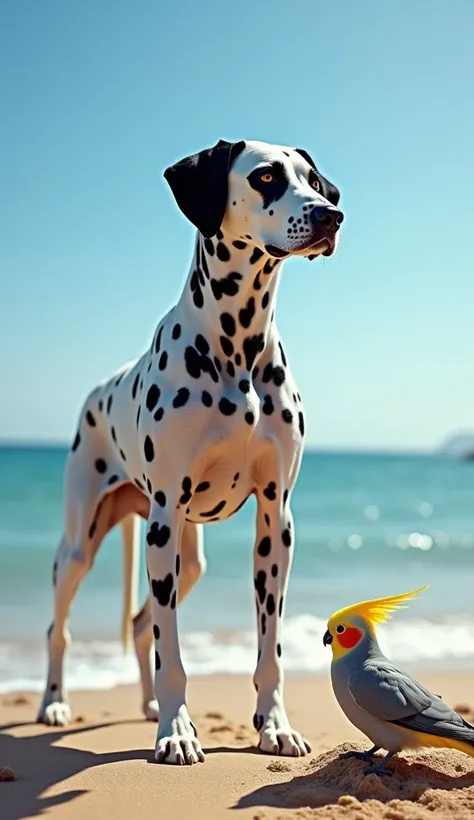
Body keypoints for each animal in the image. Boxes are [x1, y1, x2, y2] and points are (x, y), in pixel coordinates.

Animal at [36, 139, 340, 764]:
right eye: (266, 177)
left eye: (314, 180)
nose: (331, 216)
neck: (238, 343)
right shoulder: (164, 521)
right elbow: (171, 649)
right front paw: (176, 730)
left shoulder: (276, 520)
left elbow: (268, 648)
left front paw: (274, 724)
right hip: (86, 542)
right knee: (63, 627)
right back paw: (54, 703)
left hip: (184, 554)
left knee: (138, 622)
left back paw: (146, 703)